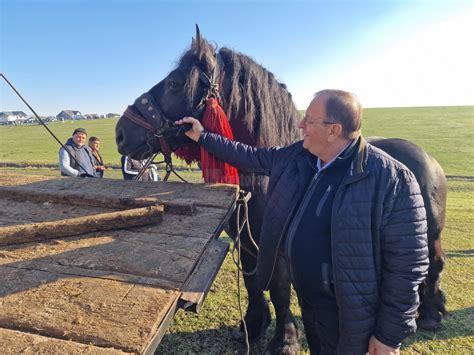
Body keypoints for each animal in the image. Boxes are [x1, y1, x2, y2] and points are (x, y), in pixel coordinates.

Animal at [115, 27, 448, 354]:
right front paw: (252, 325)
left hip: (429, 233)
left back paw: (430, 313)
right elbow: (252, 280)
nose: (120, 133)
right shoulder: (245, 240)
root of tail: (426, 157)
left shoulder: (278, 243)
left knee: (433, 263)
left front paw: (284, 339)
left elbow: (278, 286)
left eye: (175, 82)